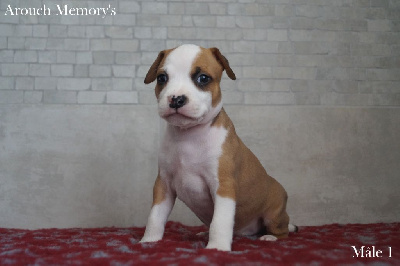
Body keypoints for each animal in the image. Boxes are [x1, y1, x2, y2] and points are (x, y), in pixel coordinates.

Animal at [140, 44, 294, 251]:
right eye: (162, 78)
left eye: (203, 78)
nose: (176, 99)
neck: (188, 136)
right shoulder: (163, 185)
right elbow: (155, 216)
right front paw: (149, 241)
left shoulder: (223, 187)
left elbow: (219, 221)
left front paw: (217, 248)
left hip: (274, 214)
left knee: (283, 230)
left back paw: (270, 237)